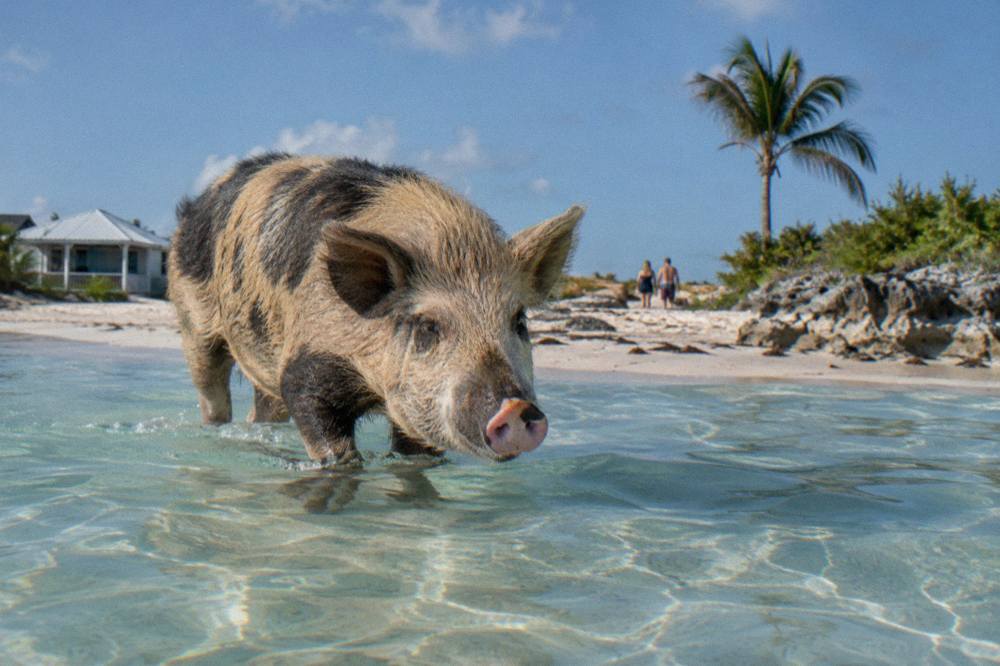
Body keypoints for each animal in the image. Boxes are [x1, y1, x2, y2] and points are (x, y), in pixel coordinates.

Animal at [168, 153, 583, 466]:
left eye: (519, 321)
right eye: (428, 326)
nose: (515, 407)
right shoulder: (306, 362)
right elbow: (328, 437)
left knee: (264, 409)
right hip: (192, 319)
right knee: (212, 392)